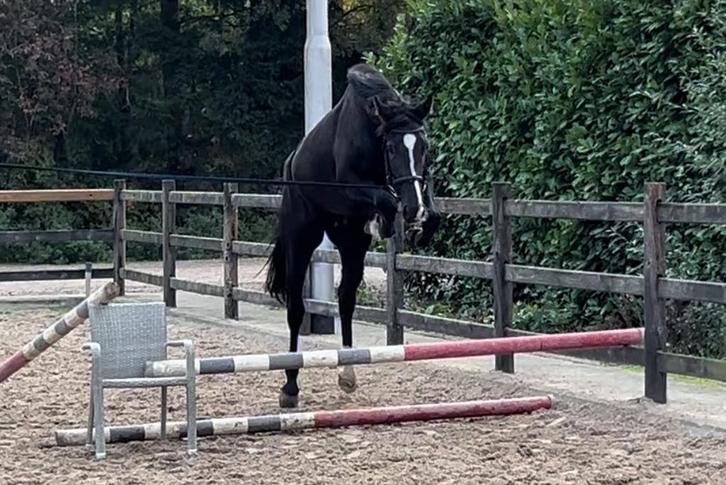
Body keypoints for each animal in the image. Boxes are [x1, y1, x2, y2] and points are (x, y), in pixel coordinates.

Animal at [265, 63, 440, 408]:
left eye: (424, 147)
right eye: (391, 148)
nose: (413, 209)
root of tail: (291, 161)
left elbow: (427, 208)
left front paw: (419, 225)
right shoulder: (352, 187)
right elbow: (387, 200)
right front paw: (396, 219)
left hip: (351, 243)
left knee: (345, 299)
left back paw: (347, 372)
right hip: (302, 237)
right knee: (296, 308)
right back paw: (290, 387)